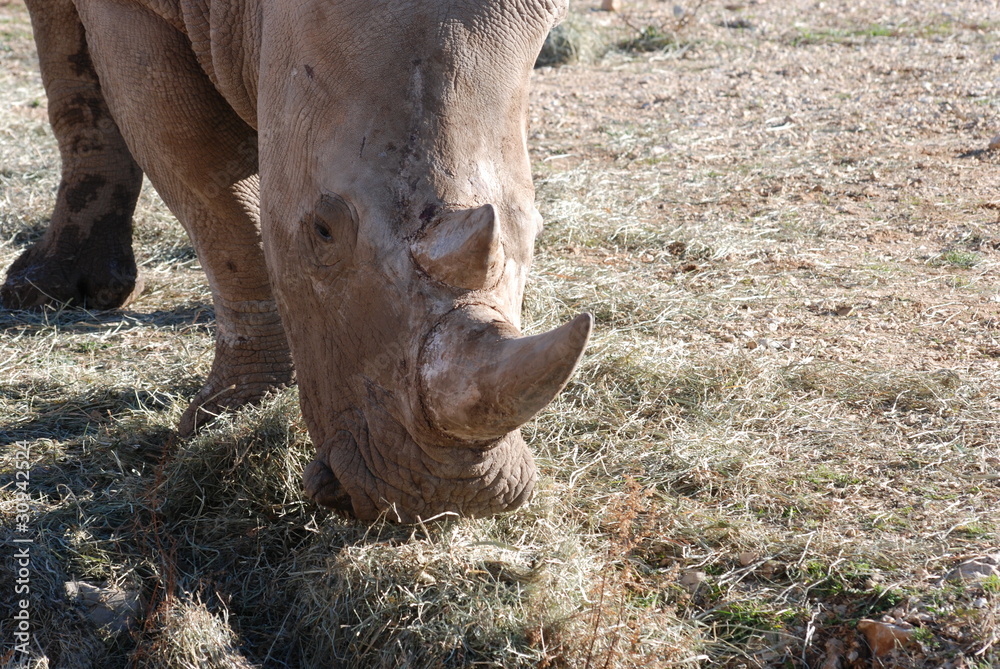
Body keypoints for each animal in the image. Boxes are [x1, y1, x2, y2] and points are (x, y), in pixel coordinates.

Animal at [3, 0, 592, 521]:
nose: (445, 496)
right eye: (322, 231)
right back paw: (45, 292)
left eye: (534, 230)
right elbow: (212, 183)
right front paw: (227, 414)